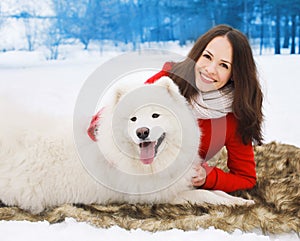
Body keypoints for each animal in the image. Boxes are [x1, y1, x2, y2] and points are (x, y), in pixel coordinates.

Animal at [0, 76, 253, 213]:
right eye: (133, 119)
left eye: (155, 115)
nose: (142, 132)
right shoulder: (159, 196)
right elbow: (206, 196)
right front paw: (234, 203)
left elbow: (216, 191)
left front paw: (240, 200)